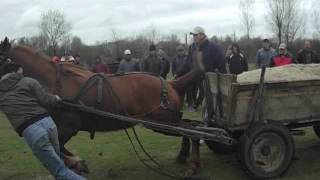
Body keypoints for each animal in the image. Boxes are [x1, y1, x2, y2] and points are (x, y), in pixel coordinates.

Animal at [0, 38, 204, 177]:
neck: (55, 83)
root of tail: (171, 83)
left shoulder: (68, 128)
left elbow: (59, 149)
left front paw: (77, 164)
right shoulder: (58, 127)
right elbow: (59, 149)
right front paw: (78, 164)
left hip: (163, 122)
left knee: (192, 131)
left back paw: (192, 164)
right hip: (166, 121)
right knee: (190, 128)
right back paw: (182, 157)